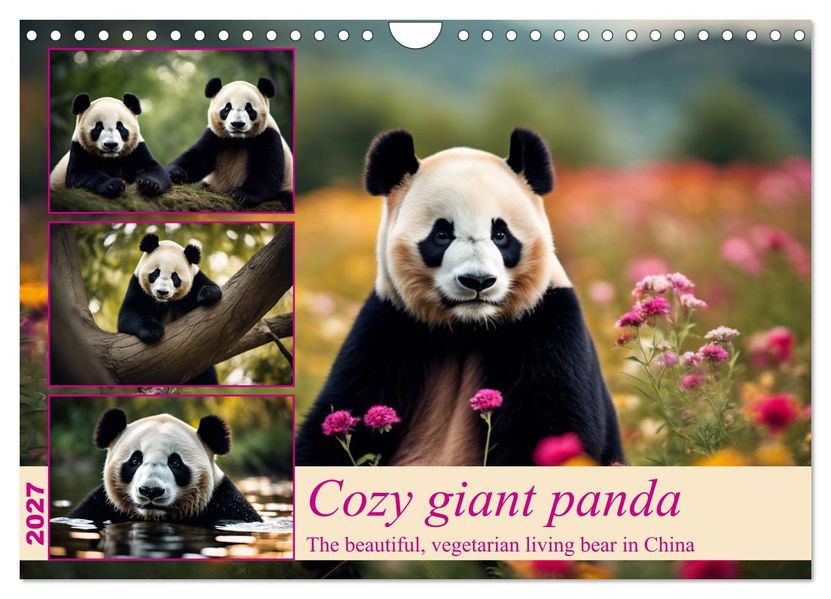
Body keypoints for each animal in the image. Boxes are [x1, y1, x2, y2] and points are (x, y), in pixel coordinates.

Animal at [117, 233, 222, 385]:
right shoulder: (137, 286)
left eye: (175, 277)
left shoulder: (196, 280)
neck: (164, 302)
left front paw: (207, 294)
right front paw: (153, 330)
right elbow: (129, 314)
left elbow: (212, 288)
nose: (162, 292)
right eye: (155, 273)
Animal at [167, 77, 293, 208]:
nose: (237, 124)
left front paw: (243, 195)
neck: (237, 140)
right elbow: (199, 157)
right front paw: (176, 173)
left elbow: (265, 169)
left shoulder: (268, 135)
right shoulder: (215, 136)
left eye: (249, 109)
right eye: (227, 108)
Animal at [296, 128, 624, 467]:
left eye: (500, 235)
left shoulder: (549, 324)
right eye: (441, 235)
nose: (477, 280)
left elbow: (551, 428)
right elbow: (337, 419)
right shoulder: (389, 327)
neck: (467, 329)